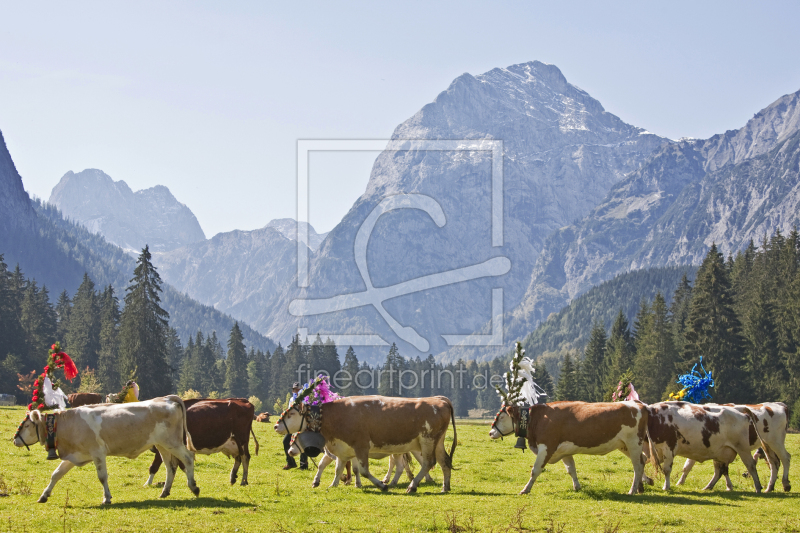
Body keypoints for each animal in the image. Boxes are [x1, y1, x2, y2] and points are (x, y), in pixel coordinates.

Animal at [12, 394, 200, 502]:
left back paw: (193, 487)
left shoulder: (98, 453)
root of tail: (166, 398)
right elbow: (56, 474)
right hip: (162, 445)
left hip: (172, 442)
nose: (14, 440)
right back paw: (165, 491)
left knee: (188, 458)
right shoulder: (74, 455)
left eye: (27, 425)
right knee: (171, 467)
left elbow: (102, 477)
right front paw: (44, 495)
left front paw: (107, 498)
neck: (68, 424)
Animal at [274, 392, 456, 492]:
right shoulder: (343, 449)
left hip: (427, 440)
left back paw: (412, 485)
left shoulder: (361, 446)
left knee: (428, 463)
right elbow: (338, 469)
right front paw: (333, 485)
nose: (276, 426)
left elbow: (363, 471)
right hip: (437, 442)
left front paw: (380, 486)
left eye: (291, 414)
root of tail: (439, 399)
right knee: (444, 462)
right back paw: (444, 487)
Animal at [488, 400, 648, 494]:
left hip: (634, 442)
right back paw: (641, 486)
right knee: (643, 461)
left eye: (501, 417)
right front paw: (577, 487)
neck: (537, 419)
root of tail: (638, 404)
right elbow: (571, 469)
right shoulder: (564, 451)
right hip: (624, 445)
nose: (490, 433)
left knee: (638, 465)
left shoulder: (546, 447)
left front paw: (526, 489)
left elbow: (535, 470)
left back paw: (632, 490)